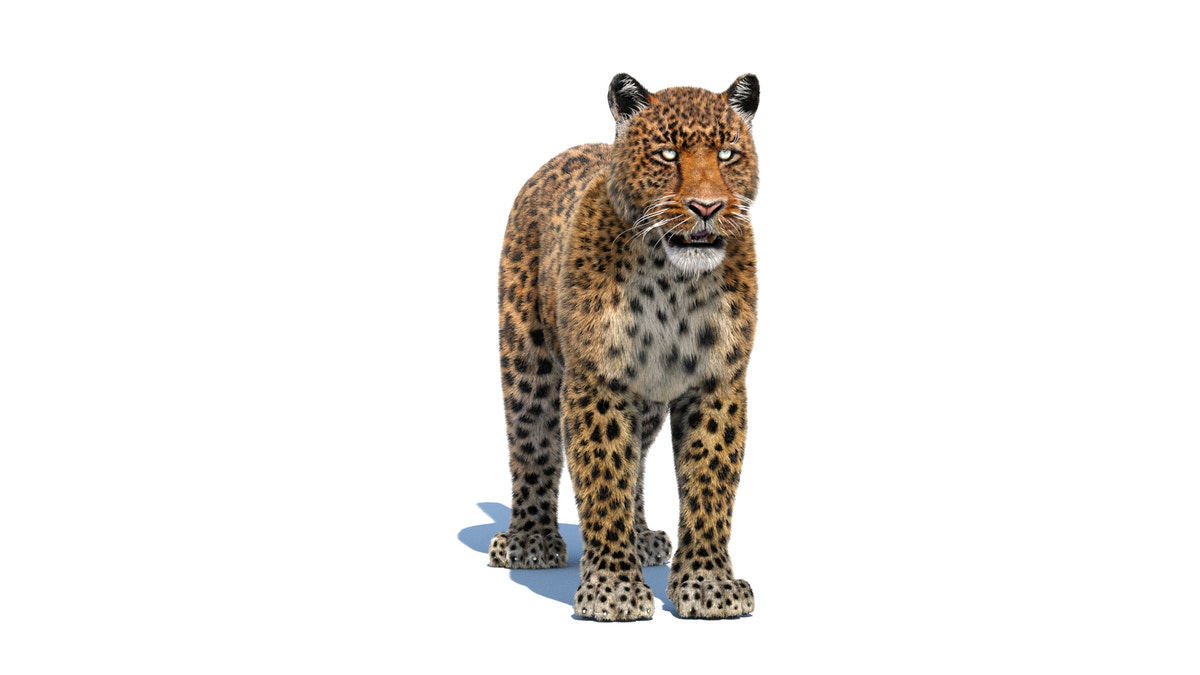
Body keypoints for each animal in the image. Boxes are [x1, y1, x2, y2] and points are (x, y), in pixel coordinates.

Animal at [489, 73, 761, 621]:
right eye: (666, 154)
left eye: (727, 153)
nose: (707, 208)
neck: (675, 283)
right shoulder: (598, 382)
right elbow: (602, 476)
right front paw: (613, 588)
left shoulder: (717, 383)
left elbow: (709, 481)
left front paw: (709, 585)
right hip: (527, 362)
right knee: (532, 443)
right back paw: (530, 541)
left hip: (649, 398)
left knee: (635, 458)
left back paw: (640, 538)